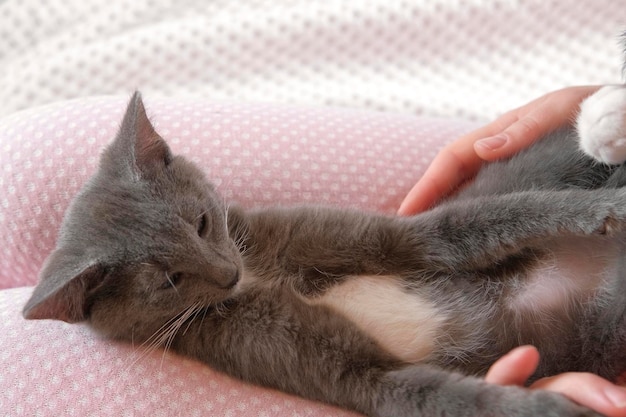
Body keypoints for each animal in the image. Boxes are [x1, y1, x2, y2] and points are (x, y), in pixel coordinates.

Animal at [22, 92, 624, 416]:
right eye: (168, 281)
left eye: (201, 222)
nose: (228, 274)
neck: (263, 273)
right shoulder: (332, 366)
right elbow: (414, 390)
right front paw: (553, 408)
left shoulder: (388, 238)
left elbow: (476, 222)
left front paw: (604, 210)